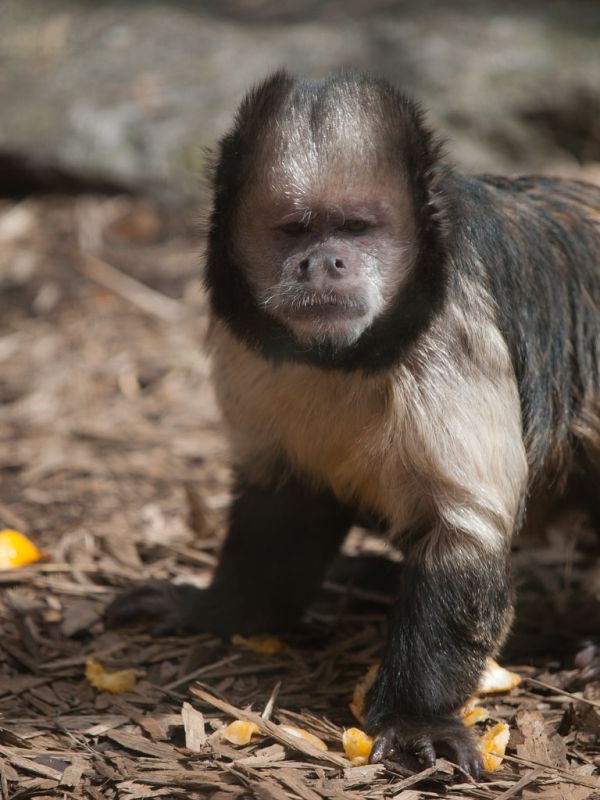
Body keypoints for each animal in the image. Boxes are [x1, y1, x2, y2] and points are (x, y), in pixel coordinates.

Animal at [107, 71, 600, 778]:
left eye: (356, 227)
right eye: (294, 229)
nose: (324, 262)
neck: (349, 357)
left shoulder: (457, 322)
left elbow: (461, 536)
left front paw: (417, 718)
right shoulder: (256, 350)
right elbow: (283, 499)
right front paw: (214, 611)